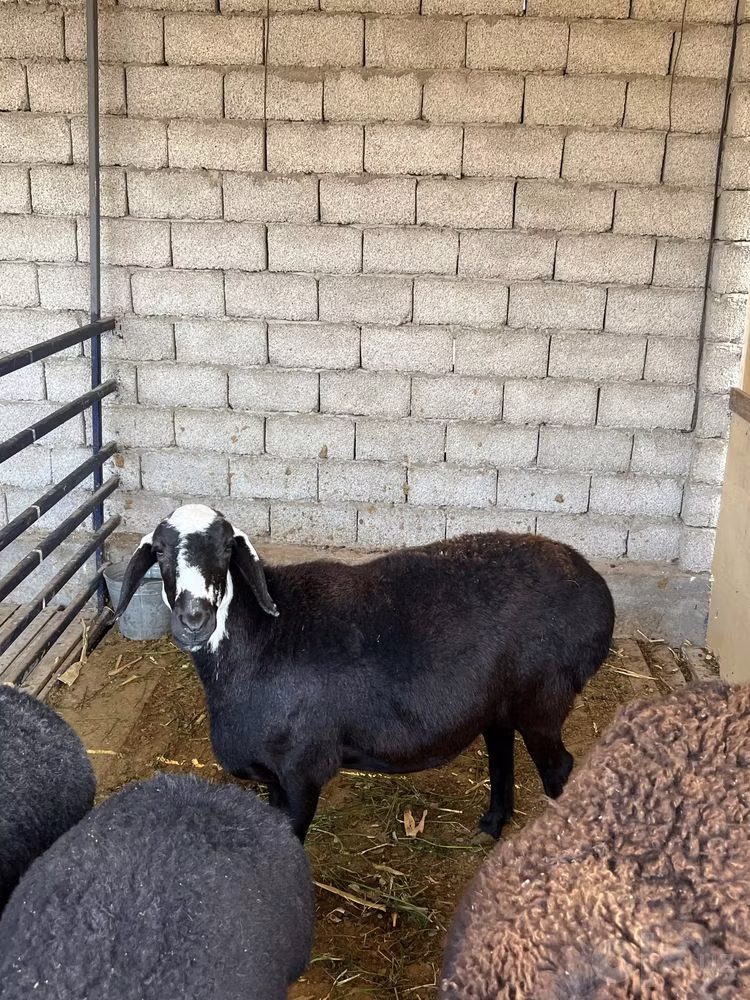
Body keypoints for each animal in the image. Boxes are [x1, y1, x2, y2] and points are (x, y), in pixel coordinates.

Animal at [112, 502, 615, 842]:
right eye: (160, 553)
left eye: (224, 550)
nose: (193, 619)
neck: (262, 638)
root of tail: (593, 585)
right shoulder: (275, 779)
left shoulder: (300, 773)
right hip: (500, 701)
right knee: (500, 749)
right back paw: (491, 825)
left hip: (543, 698)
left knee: (559, 769)